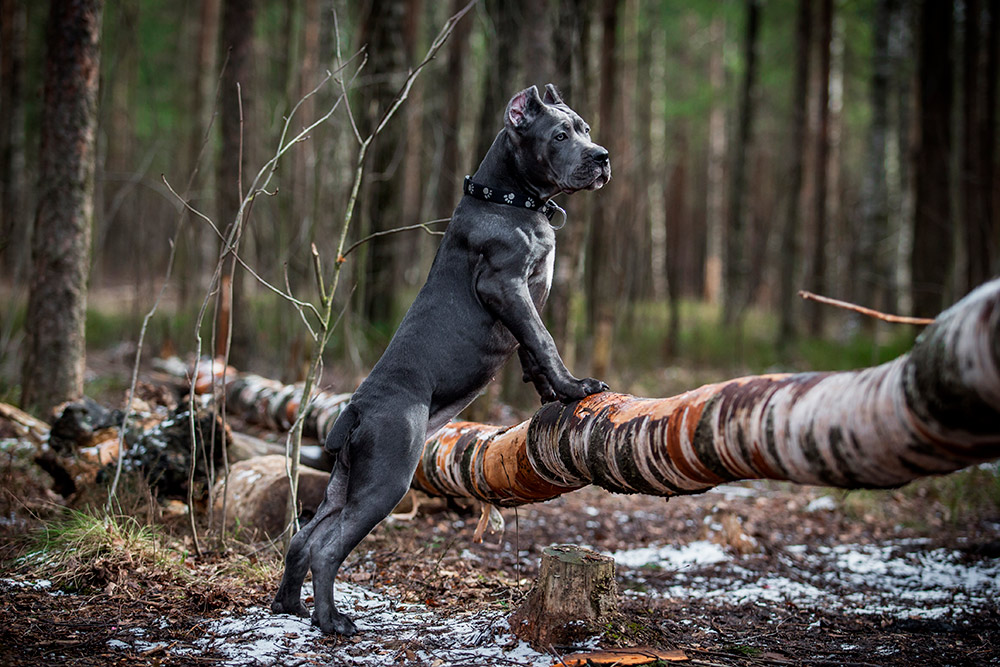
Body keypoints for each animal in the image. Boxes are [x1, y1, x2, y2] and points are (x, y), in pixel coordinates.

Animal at [274, 85, 612, 636]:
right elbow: (543, 342)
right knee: (328, 548)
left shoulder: (523, 301)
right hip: (386, 479)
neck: (510, 199)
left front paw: (551, 397)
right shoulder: (507, 285)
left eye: (584, 128)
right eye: (560, 135)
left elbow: (532, 354)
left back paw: (290, 608)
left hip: (345, 482)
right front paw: (575, 388)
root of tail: (356, 411)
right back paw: (333, 622)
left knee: (304, 538)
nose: (601, 156)